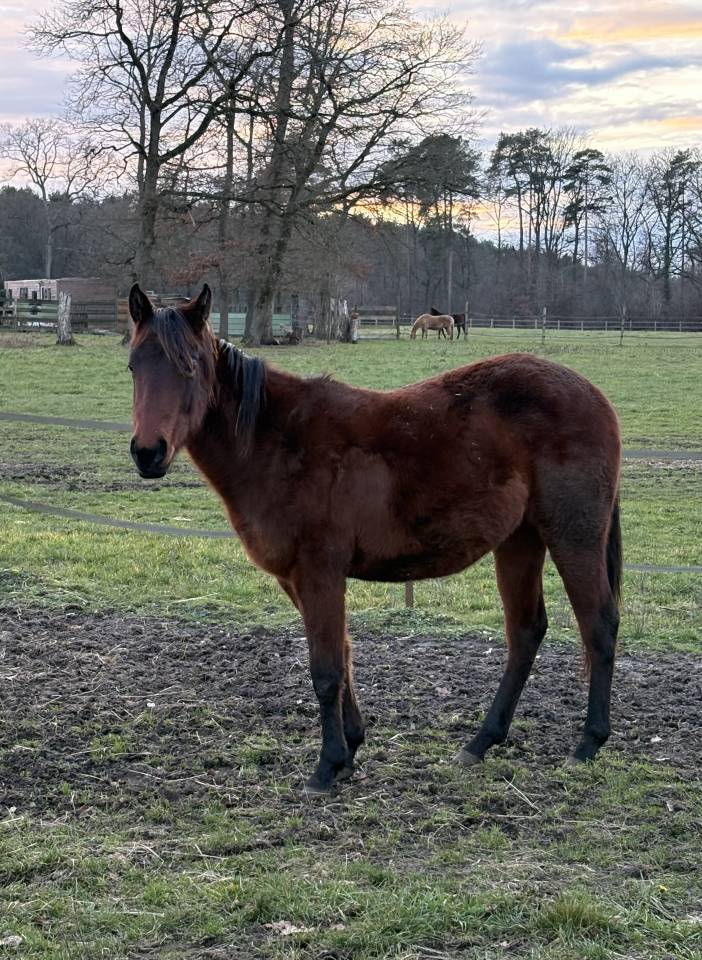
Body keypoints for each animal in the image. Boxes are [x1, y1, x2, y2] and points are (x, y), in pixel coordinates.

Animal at [128, 283, 622, 794]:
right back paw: (481, 742)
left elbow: (326, 670)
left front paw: (327, 766)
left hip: (573, 537)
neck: (279, 441)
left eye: (190, 365)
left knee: (598, 625)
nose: (148, 453)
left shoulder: (320, 573)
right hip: (519, 541)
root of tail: (594, 396)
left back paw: (587, 744)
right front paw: (350, 749)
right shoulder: (297, 579)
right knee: (525, 632)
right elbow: (343, 657)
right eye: (133, 365)